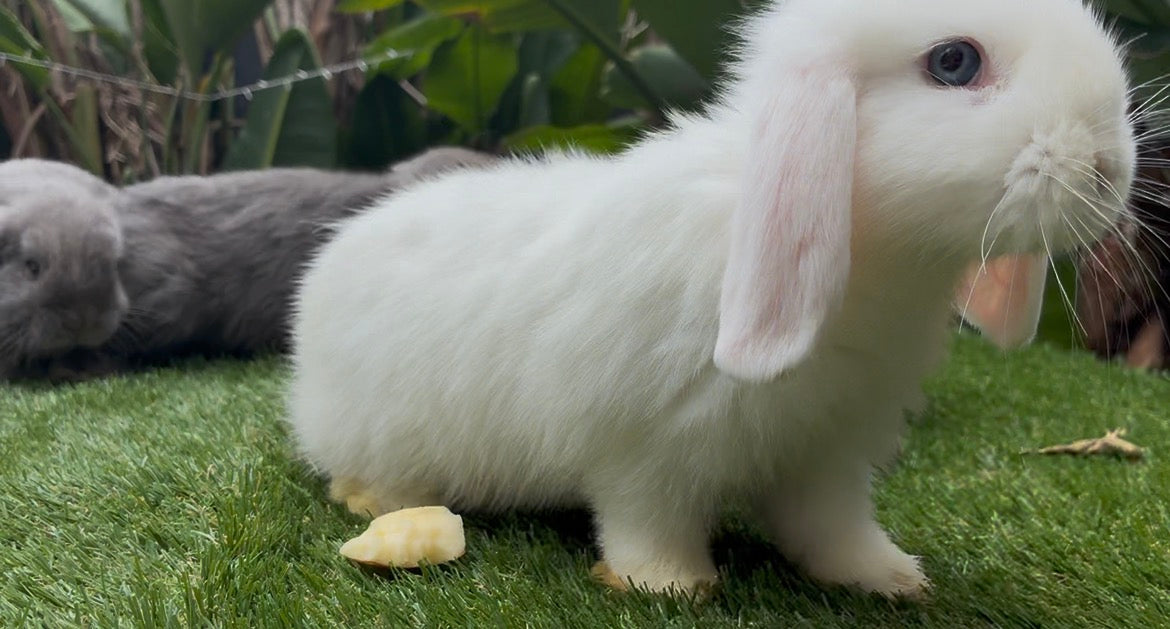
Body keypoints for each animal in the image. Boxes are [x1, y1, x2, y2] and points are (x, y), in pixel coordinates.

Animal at [286, 0, 1136, 599]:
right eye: (954, 61)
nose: (1110, 169)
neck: (873, 261)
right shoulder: (642, 449)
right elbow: (645, 519)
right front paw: (668, 584)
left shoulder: (831, 448)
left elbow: (832, 526)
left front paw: (887, 576)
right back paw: (376, 500)